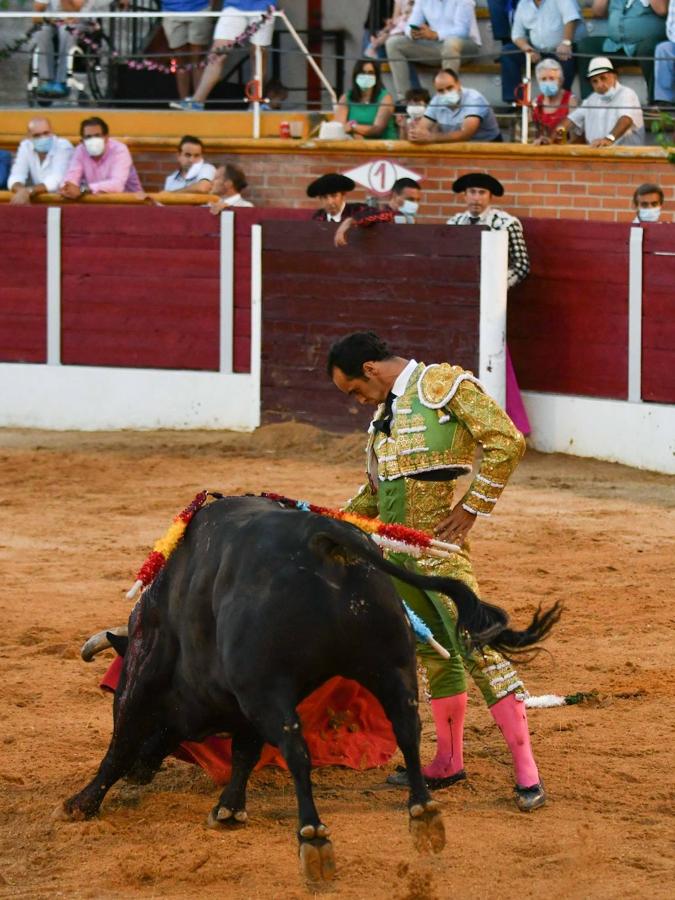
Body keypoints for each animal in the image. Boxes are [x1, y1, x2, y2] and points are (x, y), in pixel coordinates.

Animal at [63, 492, 560, 880]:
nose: (143, 772)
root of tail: (324, 538)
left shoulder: (154, 669)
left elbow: (123, 734)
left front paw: (81, 803)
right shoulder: (243, 698)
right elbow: (244, 751)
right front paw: (228, 809)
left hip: (272, 690)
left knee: (297, 750)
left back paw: (314, 837)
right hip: (390, 667)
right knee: (408, 729)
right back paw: (423, 811)